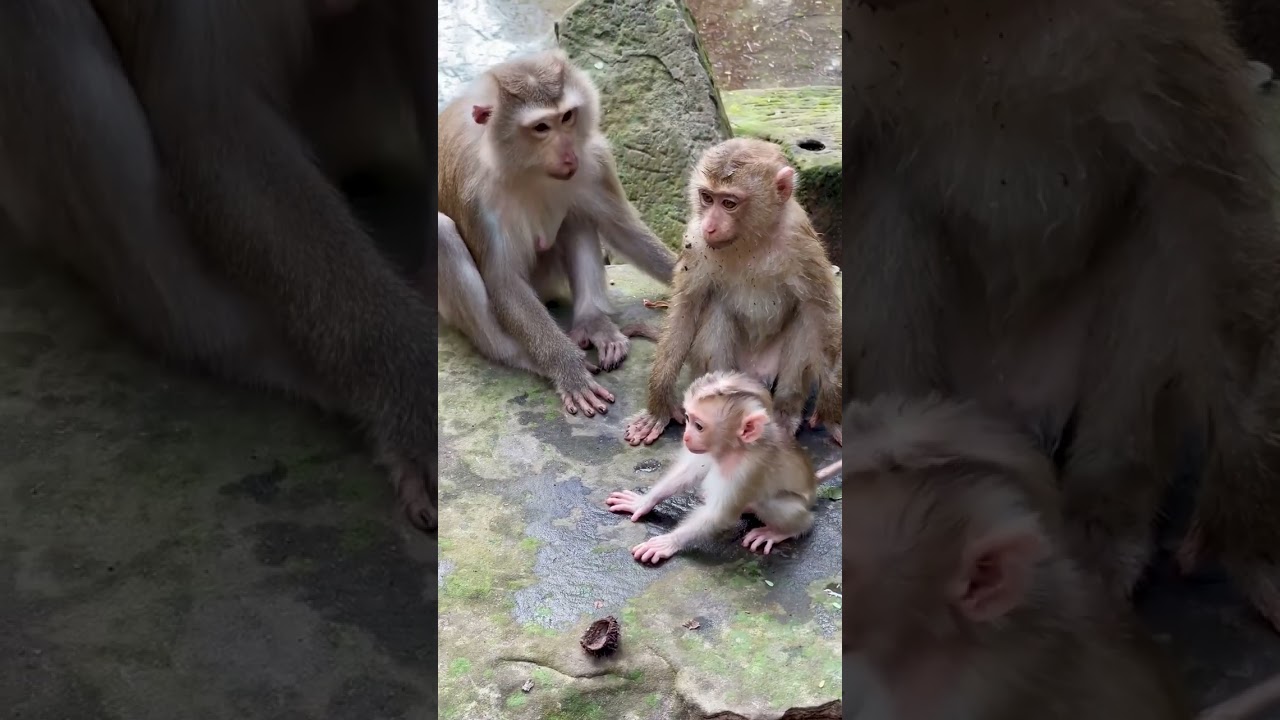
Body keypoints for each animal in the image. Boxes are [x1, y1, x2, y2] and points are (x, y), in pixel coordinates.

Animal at [436, 49, 678, 419]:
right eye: (540, 127)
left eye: (566, 117)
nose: (567, 154)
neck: (527, 168)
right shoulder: (474, 193)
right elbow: (503, 280)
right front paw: (566, 368)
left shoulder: (594, 159)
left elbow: (622, 228)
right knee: (443, 233)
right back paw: (519, 356)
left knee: (577, 213)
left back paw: (593, 323)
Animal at [605, 370, 818, 564]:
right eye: (688, 419)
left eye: (699, 426)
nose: (686, 437)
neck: (736, 448)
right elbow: (690, 471)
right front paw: (643, 501)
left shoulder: (749, 469)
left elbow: (719, 515)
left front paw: (667, 542)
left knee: (774, 505)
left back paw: (785, 530)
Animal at [623, 138, 842, 448]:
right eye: (706, 197)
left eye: (729, 203)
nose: (710, 226)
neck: (751, 239)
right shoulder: (695, 241)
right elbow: (686, 308)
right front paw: (658, 407)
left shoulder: (800, 240)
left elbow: (819, 310)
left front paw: (832, 410)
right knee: (717, 312)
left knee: (804, 321)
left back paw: (785, 412)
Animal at [845, 0, 1280, 629]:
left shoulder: (1154, 27)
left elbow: (1203, 199)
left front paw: (1249, 519)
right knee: (886, 201)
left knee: (1156, 239)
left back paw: (1105, 511)